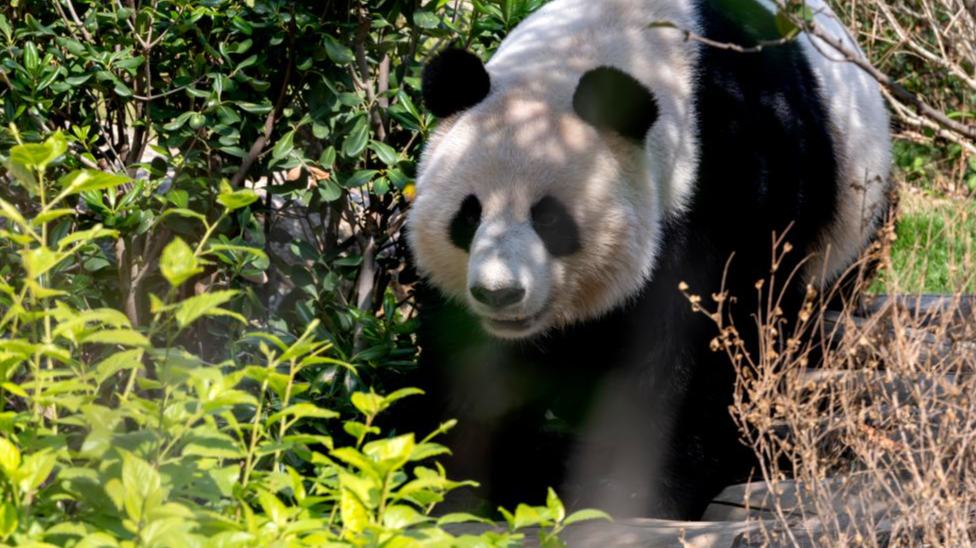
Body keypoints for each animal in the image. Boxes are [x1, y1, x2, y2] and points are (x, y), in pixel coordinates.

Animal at [403, 0, 891, 520]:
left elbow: (700, 341)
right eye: (469, 215)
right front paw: (455, 481)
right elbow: (470, 360)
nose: (500, 294)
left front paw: (639, 493)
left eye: (550, 219)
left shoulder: (729, 175)